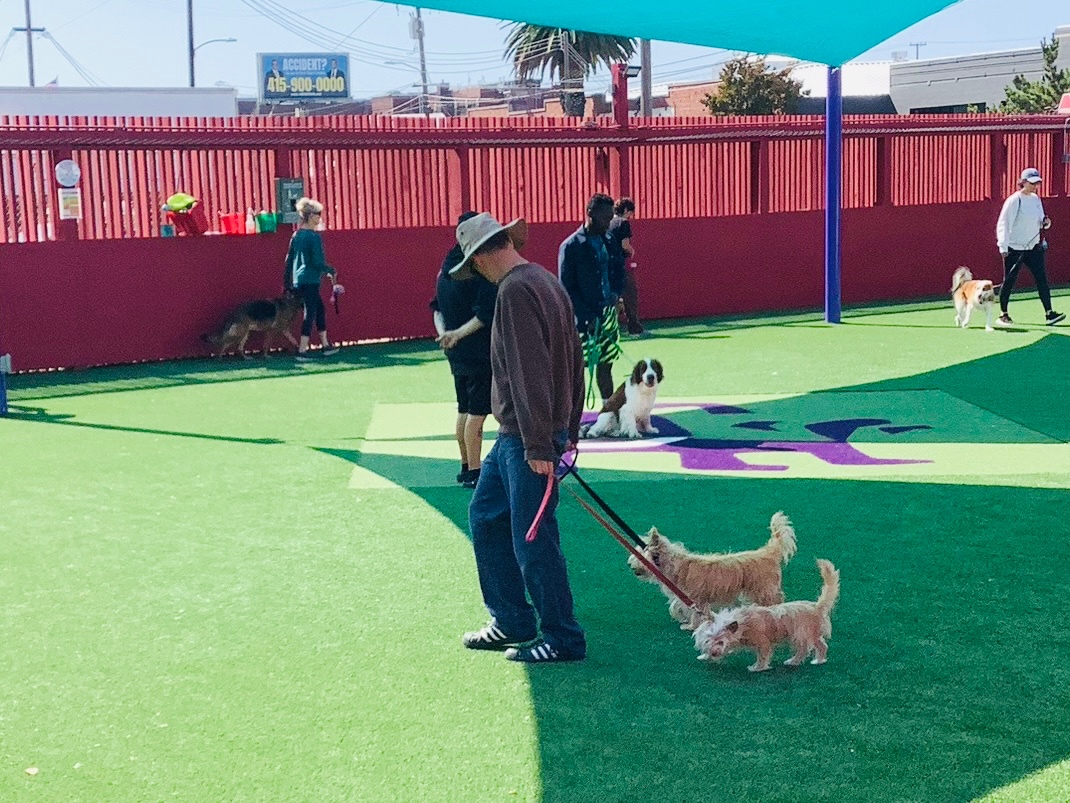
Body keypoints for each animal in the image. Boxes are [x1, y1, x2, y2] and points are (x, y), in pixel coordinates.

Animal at [624, 511, 796, 633]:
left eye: (639, 554)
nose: (629, 565)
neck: (674, 565)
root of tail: (768, 552)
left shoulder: (696, 598)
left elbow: (694, 612)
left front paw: (691, 626)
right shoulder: (687, 596)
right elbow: (679, 606)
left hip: (764, 589)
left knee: (776, 600)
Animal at [693, 561, 843, 672]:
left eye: (720, 641)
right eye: (707, 641)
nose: (714, 653)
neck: (743, 625)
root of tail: (816, 607)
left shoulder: (763, 642)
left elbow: (763, 656)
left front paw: (757, 668)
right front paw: (704, 655)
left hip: (801, 635)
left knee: (804, 649)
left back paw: (794, 661)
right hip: (812, 634)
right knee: (822, 645)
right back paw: (819, 660)